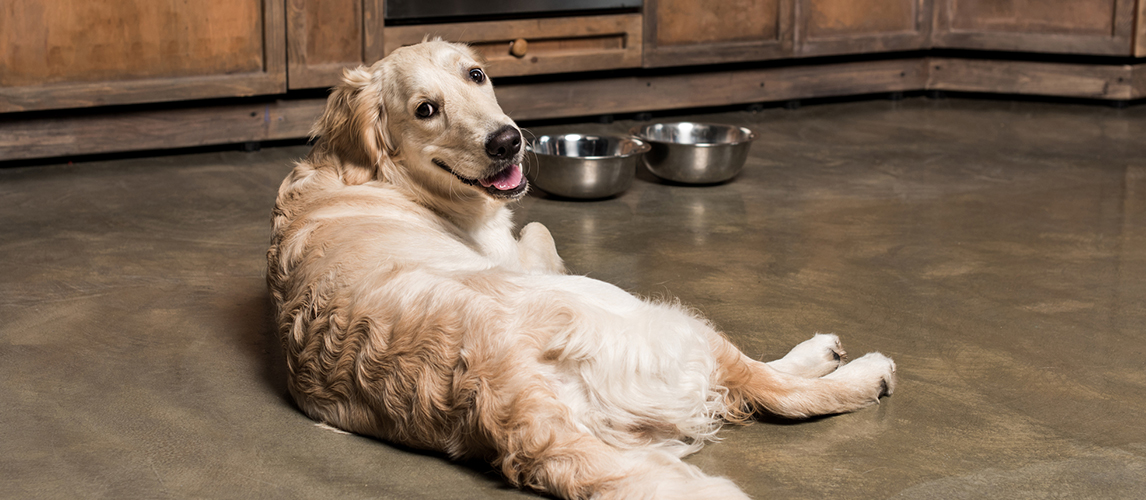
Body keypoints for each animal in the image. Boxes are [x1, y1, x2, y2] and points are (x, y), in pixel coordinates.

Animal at [268, 40, 893, 497]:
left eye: (476, 75)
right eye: (426, 109)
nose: (508, 141)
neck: (372, 174)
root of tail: (505, 396)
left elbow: (538, 228)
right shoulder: (512, 246)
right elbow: (540, 229)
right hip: (642, 311)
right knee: (773, 385)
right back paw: (855, 369)